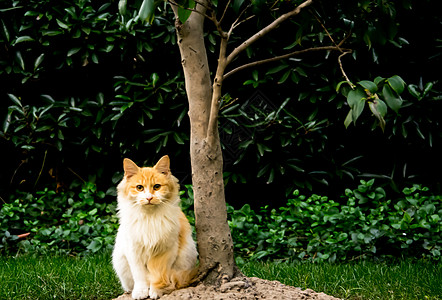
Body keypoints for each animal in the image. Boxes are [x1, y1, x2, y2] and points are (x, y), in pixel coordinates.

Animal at [113, 156, 198, 298]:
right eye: (139, 187)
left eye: (157, 187)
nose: (149, 198)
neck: (150, 218)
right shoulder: (134, 251)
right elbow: (140, 276)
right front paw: (140, 292)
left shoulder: (165, 250)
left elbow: (158, 274)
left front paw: (156, 291)